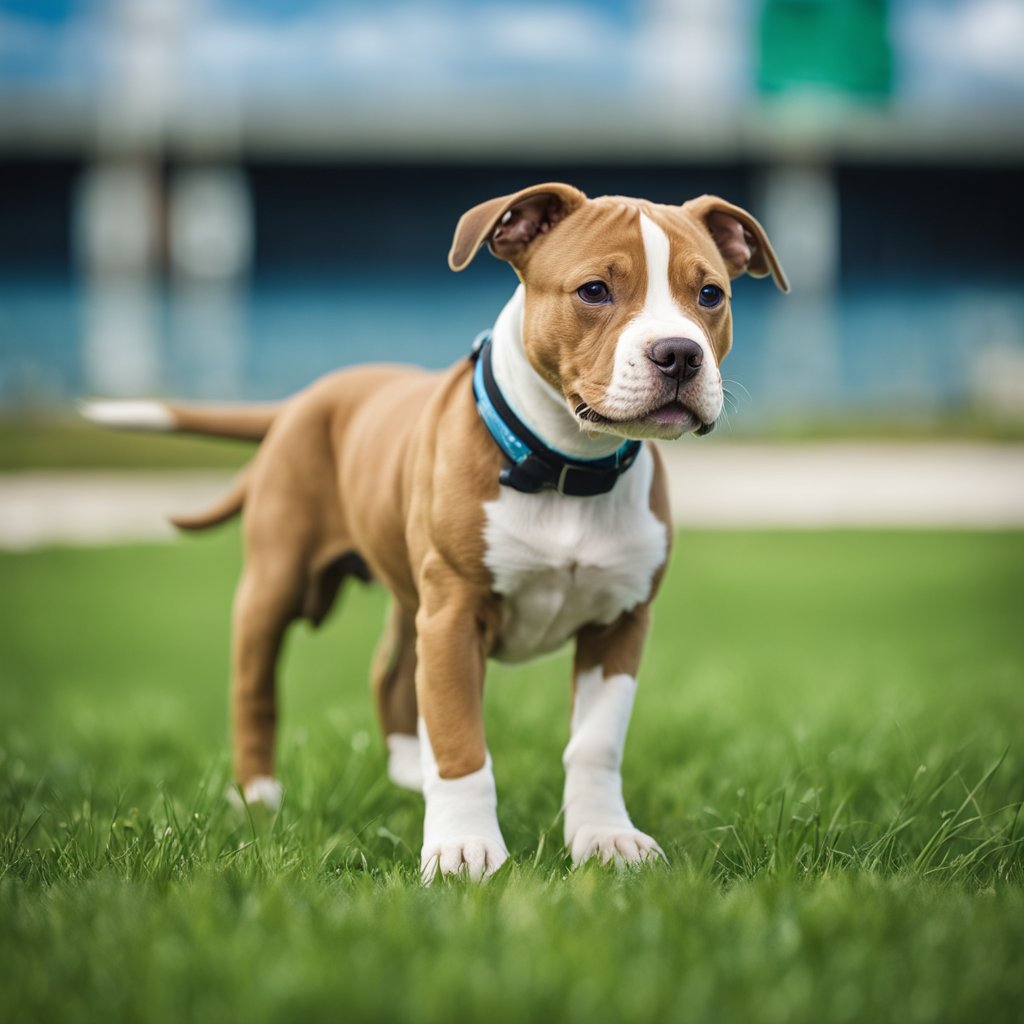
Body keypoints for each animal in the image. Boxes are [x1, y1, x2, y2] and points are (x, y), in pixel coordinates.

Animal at [83, 182, 786, 880]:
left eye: (710, 295)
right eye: (593, 291)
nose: (680, 354)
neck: (564, 468)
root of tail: (309, 397)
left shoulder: (620, 623)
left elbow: (595, 744)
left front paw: (605, 839)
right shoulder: (453, 616)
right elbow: (459, 741)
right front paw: (463, 851)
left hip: (407, 595)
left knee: (391, 675)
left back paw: (405, 775)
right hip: (276, 584)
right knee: (255, 688)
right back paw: (258, 796)